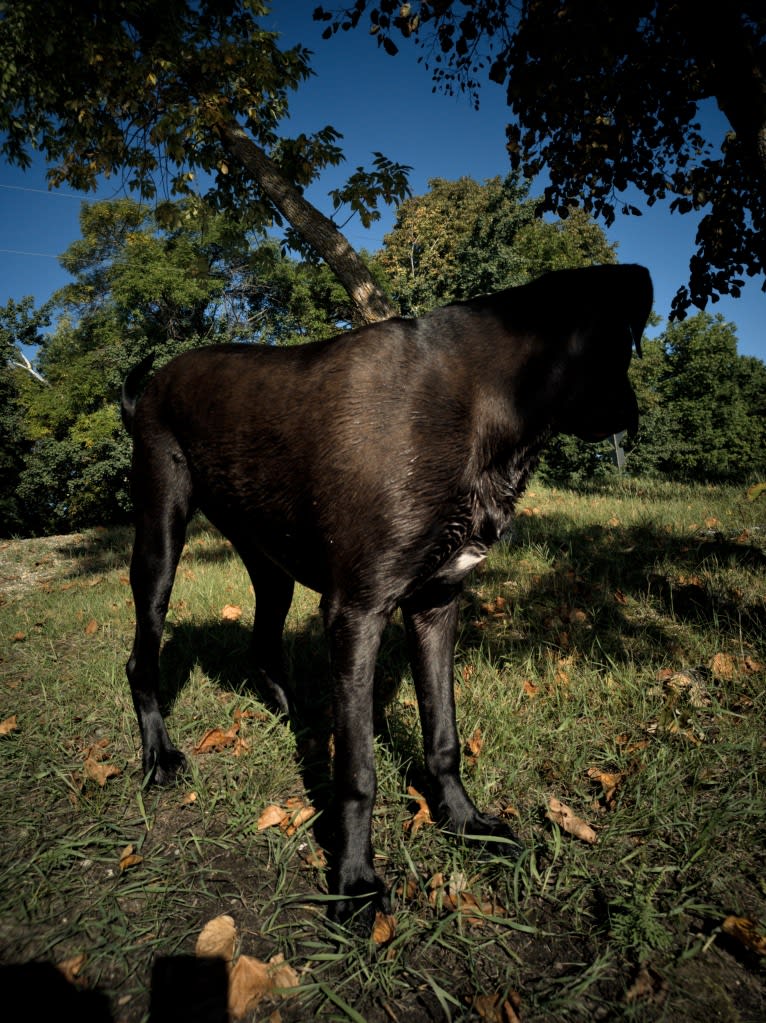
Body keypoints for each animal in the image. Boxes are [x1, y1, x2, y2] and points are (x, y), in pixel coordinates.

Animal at [121, 263, 650, 937]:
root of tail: (151, 385)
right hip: (159, 540)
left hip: (271, 565)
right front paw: (354, 879)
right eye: (622, 344)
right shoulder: (358, 611)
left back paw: (299, 718)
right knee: (141, 659)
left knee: (263, 646)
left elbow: (443, 737)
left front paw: (464, 822)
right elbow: (359, 772)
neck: (480, 400)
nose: (634, 413)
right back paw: (159, 755)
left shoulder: (436, 603)